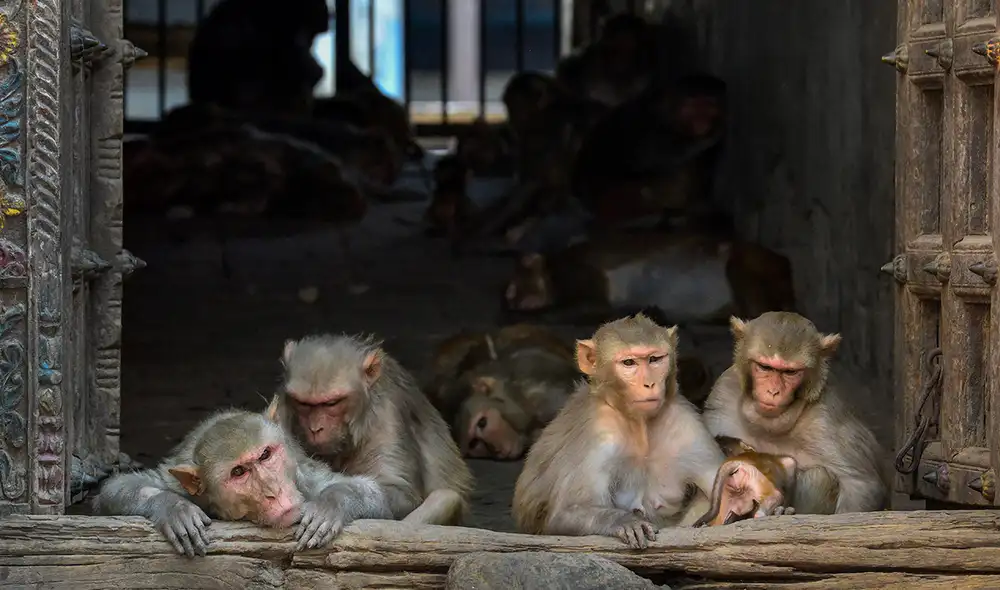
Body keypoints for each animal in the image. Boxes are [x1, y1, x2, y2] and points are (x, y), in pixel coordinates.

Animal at [93, 409, 392, 557]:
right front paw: (173, 508)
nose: (273, 491)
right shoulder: (180, 484)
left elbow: (384, 496)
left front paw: (329, 505)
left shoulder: (305, 480)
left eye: (265, 455)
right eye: (238, 472)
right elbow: (111, 491)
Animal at [268, 334, 475, 526]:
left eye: (332, 403)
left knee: (445, 499)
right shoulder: (282, 405)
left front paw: (336, 499)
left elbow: (401, 492)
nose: (316, 428)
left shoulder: (387, 415)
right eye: (303, 404)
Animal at [511, 313, 728, 549]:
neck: (640, 426)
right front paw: (625, 521)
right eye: (629, 363)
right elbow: (565, 513)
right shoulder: (597, 433)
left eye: (654, 359)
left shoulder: (685, 423)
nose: (649, 384)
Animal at [702, 312, 887, 515]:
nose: (773, 392)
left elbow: (861, 484)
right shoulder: (724, 392)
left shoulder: (826, 418)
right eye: (765, 367)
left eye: (790, 372)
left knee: (819, 476)